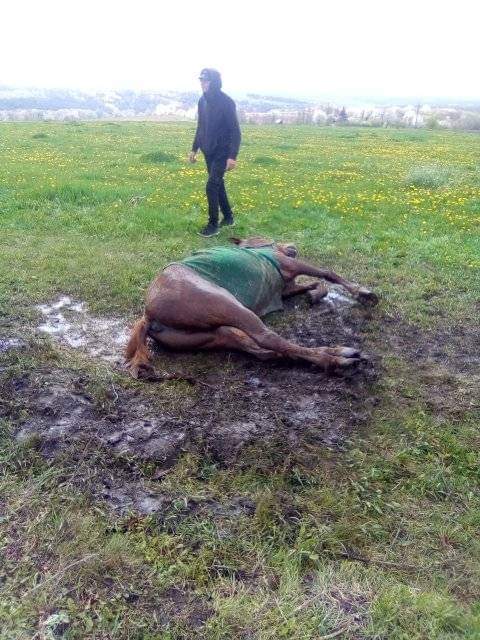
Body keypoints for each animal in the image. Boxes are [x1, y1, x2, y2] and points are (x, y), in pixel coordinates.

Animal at [124, 236, 378, 378]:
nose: (292, 246)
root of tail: (148, 317)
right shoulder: (290, 264)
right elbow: (327, 273)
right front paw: (364, 294)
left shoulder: (285, 289)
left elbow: (315, 285)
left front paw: (315, 295)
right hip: (230, 307)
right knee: (268, 338)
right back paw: (338, 359)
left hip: (216, 334)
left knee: (260, 349)